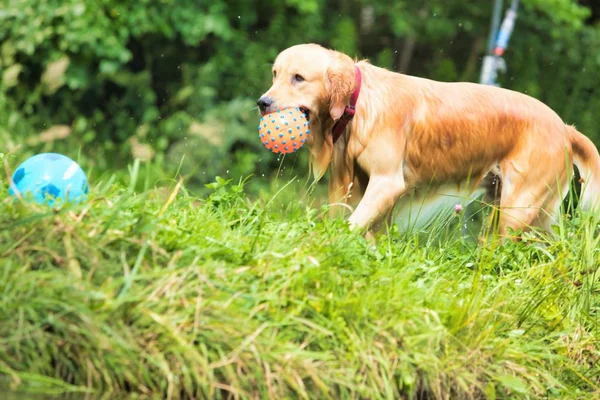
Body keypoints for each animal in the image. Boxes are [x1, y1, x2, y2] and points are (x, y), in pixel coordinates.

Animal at [256, 44, 600, 238]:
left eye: (298, 78)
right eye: (274, 74)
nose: (262, 102)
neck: (361, 102)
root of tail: (564, 128)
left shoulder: (387, 183)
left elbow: (351, 224)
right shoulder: (349, 185)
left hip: (516, 210)